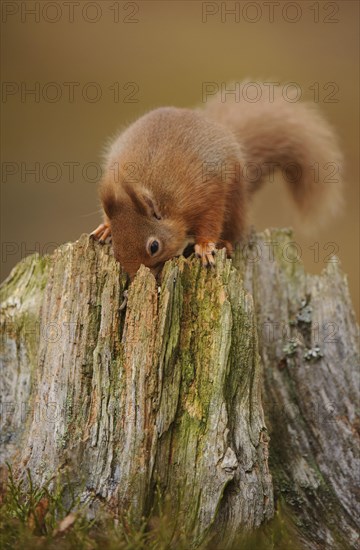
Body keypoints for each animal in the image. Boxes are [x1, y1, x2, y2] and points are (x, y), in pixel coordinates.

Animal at [91, 82, 342, 280]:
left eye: (154, 246)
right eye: (117, 249)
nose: (135, 277)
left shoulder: (208, 192)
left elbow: (210, 222)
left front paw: (205, 246)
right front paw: (107, 227)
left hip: (236, 200)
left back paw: (225, 243)